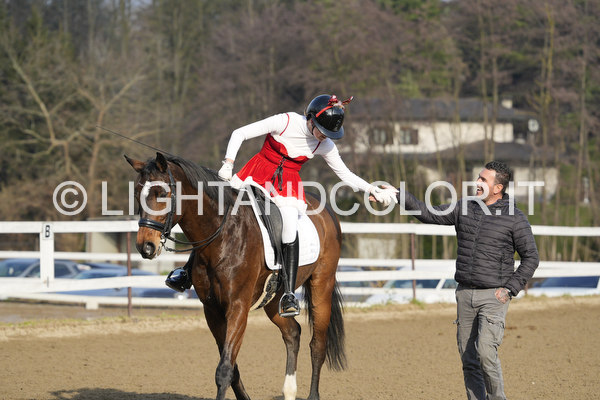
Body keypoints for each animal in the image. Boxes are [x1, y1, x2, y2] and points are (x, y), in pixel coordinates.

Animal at [126, 152, 345, 400]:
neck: (223, 235)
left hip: (321, 286)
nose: (146, 247)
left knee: (318, 344)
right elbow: (231, 365)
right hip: (274, 300)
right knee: (293, 333)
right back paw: (289, 390)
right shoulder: (212, 310)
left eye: (162, 194)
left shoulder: (237, 307)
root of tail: (325, 209)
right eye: (137, 194)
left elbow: (224, 370)